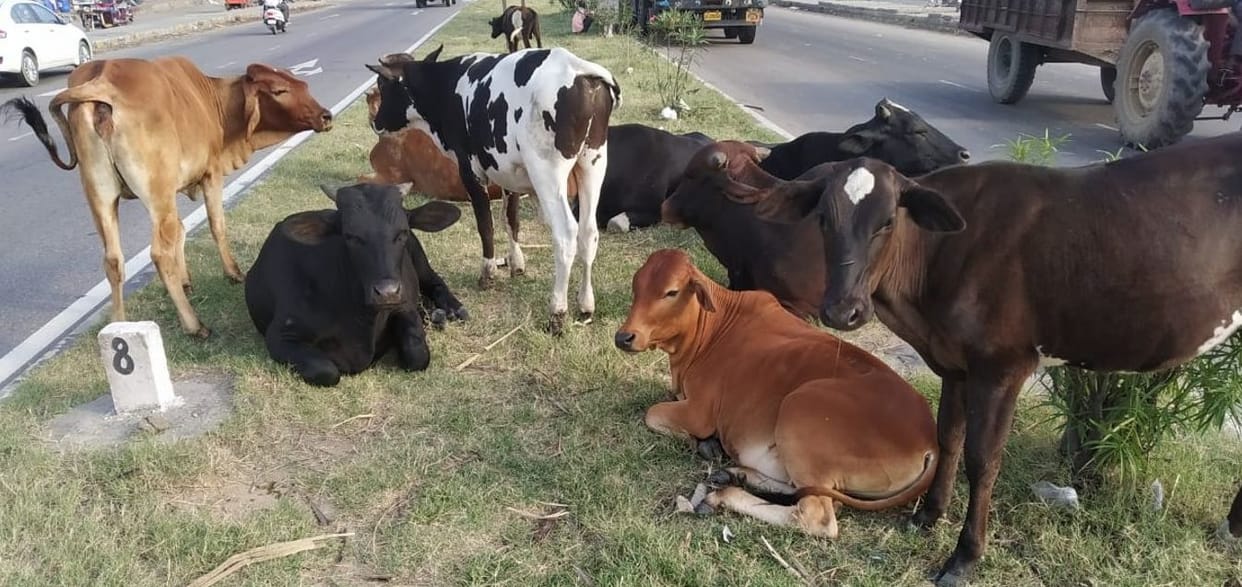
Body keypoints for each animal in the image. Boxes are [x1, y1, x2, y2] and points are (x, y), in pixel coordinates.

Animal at [0, 57, 333, 339]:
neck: (214, 102)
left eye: (302, 84)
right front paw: (233, 273)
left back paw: (119, 325)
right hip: (156, 194)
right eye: (279, 90)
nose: (326, 116)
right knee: (158, 253)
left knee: (113, 260)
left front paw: (185, 280)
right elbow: (216, 225)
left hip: (101, 195)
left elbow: (182, 233)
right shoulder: (210, 174)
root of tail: (102, 82)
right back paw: (194, 325)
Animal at [244, 183, 467, 387]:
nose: (387, 293)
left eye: (402, 232)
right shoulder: (280, 334)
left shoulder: (404, 306)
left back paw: (452, 310)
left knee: (436, 282)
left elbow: (418, 356)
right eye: (351, 236)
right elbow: (325, 371)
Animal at [369, 45, 621, 335]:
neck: (448, 87)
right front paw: (516, 264)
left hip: (548, 171)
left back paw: (557, 312)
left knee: (567, 233)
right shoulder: (507, 171)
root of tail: (579, 69)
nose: (375, 123)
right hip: (593, 162)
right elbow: (511, 219)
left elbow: (485, 225)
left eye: (382, 85)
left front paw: (488, 272)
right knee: (589, 232)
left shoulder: (470, 169)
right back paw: (585, 305)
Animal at [613, 248, 938, 537]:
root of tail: (929, 441)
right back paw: (735, 473)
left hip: (800, 409)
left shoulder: (699, 413)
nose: (624, 337)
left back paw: (723, 495)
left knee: (817, 516)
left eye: (671, 292)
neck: (707, 332)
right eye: (637, 285)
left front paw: (705, 444)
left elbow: (652, 414)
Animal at [720, 131, 1242, 586]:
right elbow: (948, 438)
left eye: (887, 221)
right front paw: (929, 515)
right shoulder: (954, 364)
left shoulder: (1003, 366)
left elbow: (983, 459)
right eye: (824, 220)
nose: (842, 310)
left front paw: (965, 556)